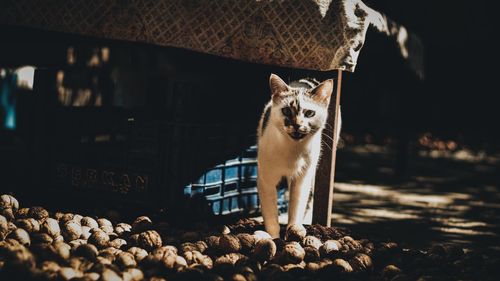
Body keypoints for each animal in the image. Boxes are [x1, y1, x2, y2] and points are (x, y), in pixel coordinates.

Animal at [258, 73, 340, 237]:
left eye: (309, 113)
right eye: (286, 111)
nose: (297, 124)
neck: (292, 149)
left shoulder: (302, 178)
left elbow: (297, 205)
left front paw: (294, 228)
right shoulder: (266, 180)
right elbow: (271, 214)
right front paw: (273, 237)